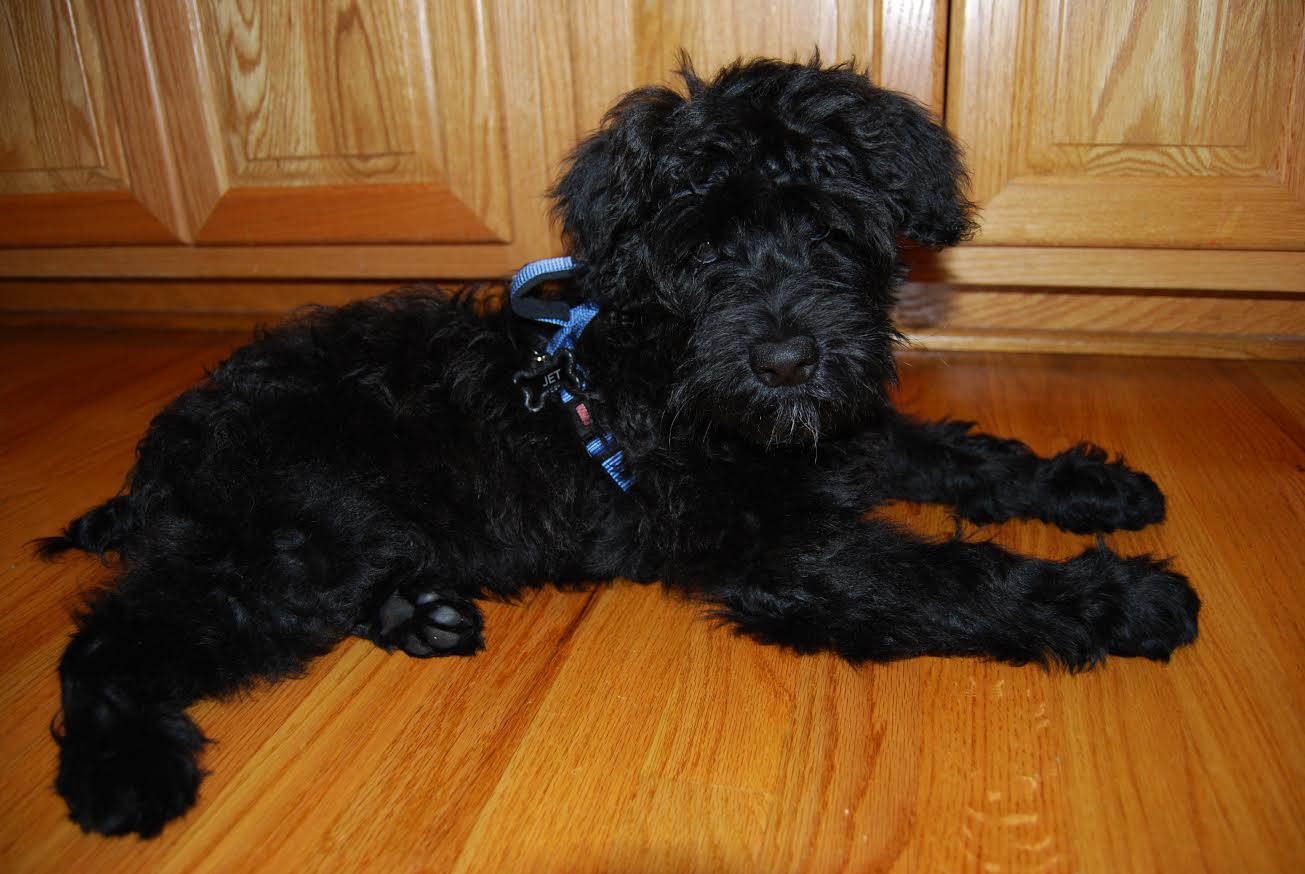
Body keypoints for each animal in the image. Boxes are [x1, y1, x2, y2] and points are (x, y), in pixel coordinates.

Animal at [40, 58, 1200, 840]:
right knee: (108, 636)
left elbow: (968, 459)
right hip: (290, 554)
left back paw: (418, 613)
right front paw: (1122, 596)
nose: (786, 361)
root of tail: (162, 456)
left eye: (832, 228)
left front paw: (1092, 485)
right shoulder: (787, 548)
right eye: (703, 247)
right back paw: (123, 772)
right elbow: (960, 573)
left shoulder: (842, 440)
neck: (673, 366)